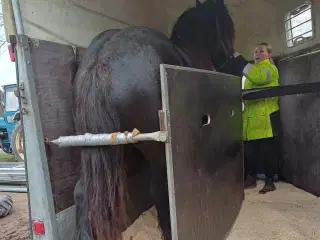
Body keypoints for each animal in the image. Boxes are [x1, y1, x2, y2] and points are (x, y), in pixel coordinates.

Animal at [73, 0, 248, 240]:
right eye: (228, 26)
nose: (232, 57)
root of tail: (102, 60)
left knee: (82, 193)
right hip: (155, 151)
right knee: (159, 188)